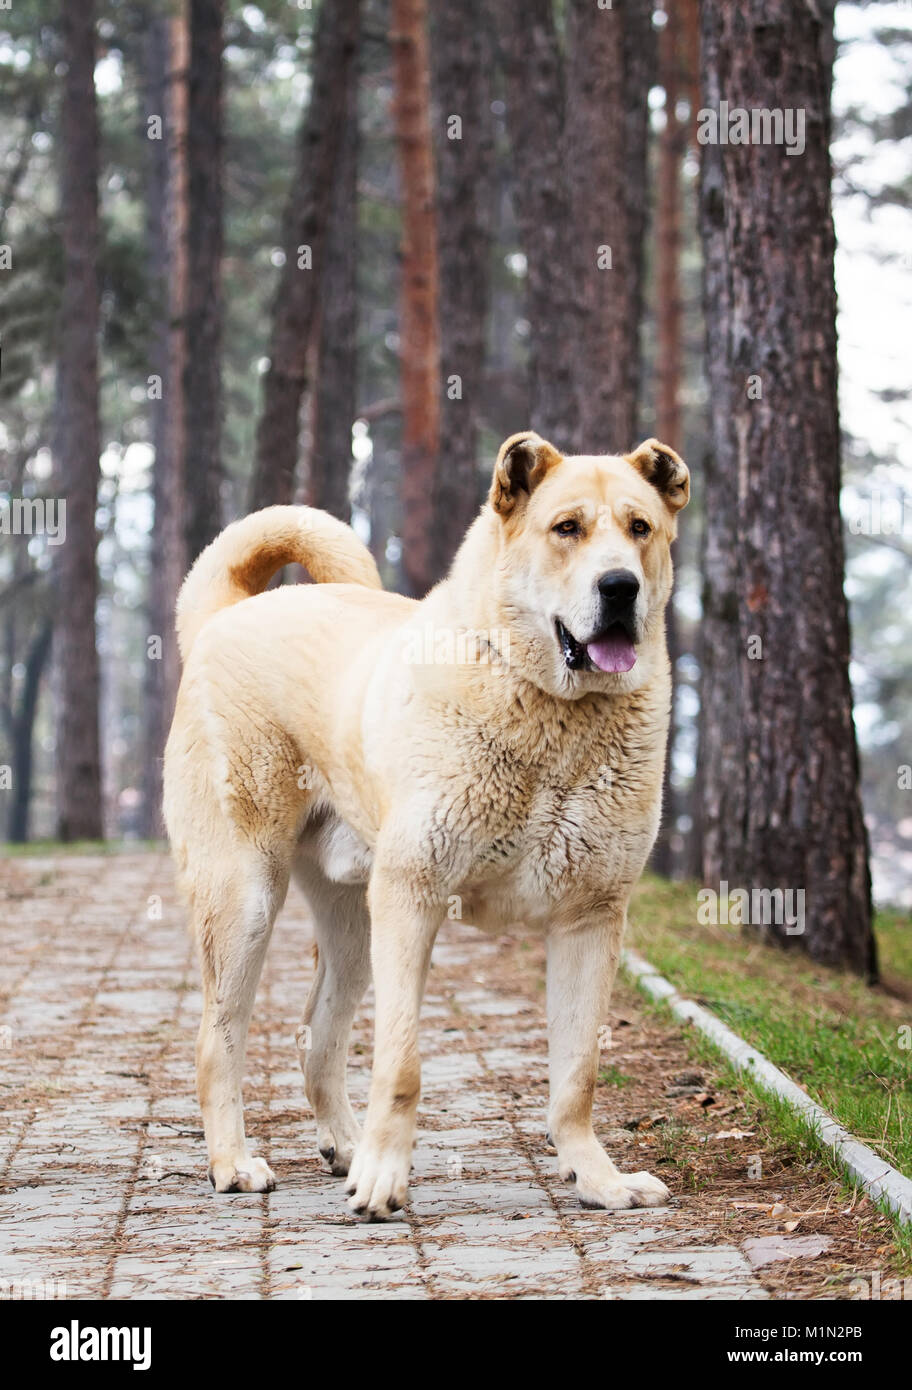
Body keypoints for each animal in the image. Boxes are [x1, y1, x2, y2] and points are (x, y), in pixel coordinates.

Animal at [165, 430, 692, 1217]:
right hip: (246, 901)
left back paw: (343, 1146)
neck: (553, 715)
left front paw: (598, 1179)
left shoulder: (591, 918)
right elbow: (402, 1062)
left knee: (317, 1038)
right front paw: (385, 1180)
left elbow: (577, 1074)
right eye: (566, 528)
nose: (620, 587)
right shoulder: (413, 896)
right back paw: (235, 1163)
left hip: (353, 923)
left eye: (640, 529)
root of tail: (225, 614)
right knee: (217, 1040)